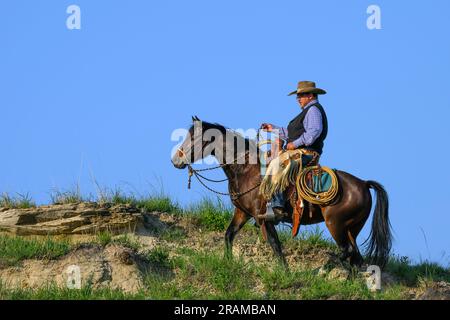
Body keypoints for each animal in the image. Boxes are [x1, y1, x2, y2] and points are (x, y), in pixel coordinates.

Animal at [171, 116, 392, 268]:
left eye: (194, 137)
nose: (175, 159)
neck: (246, 170)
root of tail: (363, 184)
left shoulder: (264, 218)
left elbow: (275, 246)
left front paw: (284, 271)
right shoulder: (242, 212)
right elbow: (229, 235)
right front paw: (228, 262)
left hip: (336, 225)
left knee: (347, 251)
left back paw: (324, 270)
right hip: (351, 229)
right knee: (356, 258)